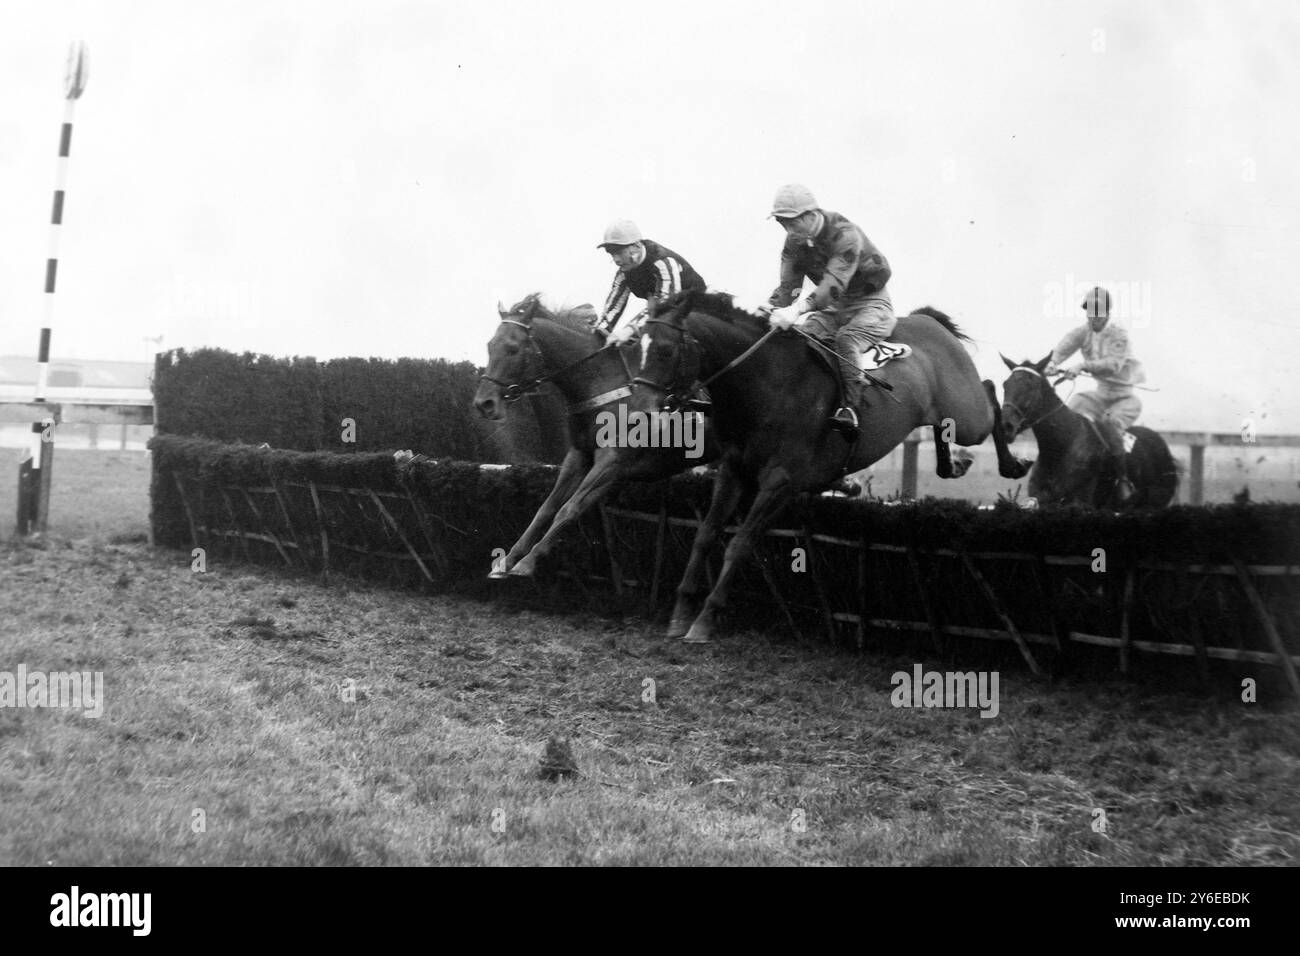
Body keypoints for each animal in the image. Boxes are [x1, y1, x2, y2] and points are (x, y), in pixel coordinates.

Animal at [470, 293, 717, 574]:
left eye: (512, 349)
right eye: (490, 346)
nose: (484, 404)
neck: (603, 388)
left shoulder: (612, 462)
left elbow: (570, 508)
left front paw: (526, 562)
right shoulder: (579, 456)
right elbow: (546, 508)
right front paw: (506, 560)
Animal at [634, 290, 1029, 642]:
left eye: (664, 350)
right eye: (637, 345)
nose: (640, 407)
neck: (767, 384)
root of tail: (929, 321)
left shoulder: (780, 483)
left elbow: (740, 544)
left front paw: (704, 620)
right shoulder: (734, 472)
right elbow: (704, 535)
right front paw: (680, 613)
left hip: (967, 415)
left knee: (989, 393)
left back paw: (1013, 463)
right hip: (946, 414)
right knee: (949, 426)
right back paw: (953, 464)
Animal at [993, 353, 1180, 509]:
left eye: (1031, 385)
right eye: (1006, 384)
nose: (1006, 426)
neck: (1060, 448)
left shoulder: (1079, 503)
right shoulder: (1041, 500)